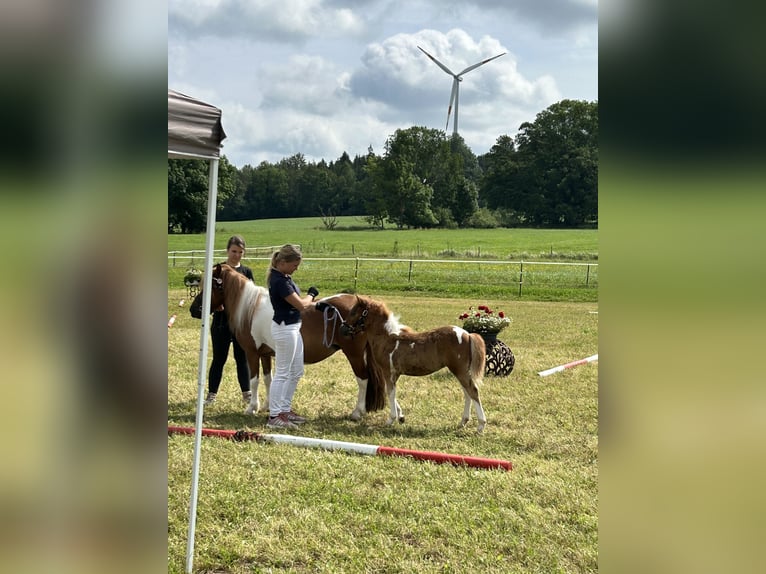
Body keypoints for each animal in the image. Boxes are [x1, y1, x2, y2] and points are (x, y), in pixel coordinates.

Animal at [190, 264, 388, 420]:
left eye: (210, 287)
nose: (194, 310)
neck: (251, 308)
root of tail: (365, 307)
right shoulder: (265, 354)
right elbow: (268, 379)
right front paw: (267, 406)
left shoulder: (251, 353)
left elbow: (254, 380)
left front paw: (252, 408)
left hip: (354, 354)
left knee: (363, 379)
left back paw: (357, 412)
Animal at [344, 296, 488, 432]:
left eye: (353, 312)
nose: (343, 328)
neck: (387, 339)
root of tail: (468, 334)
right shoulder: (394, 374)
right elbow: (392, 392)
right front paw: (400, 417)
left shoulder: (388, 372)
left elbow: (390, 393)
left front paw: (391, 420)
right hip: (460, 371)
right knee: (467, 393)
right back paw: (463, 421)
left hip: (460, 370)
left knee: (473, 391)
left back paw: (481, 426)